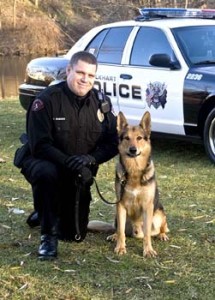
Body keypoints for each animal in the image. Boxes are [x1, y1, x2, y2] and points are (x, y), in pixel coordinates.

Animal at [88, 111, 169, 256]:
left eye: (139, 138)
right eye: (126, 138)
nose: (133, 150)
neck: (134, 170)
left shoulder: (147, 207)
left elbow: (147, 234)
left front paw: (148, 250)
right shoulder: (120, 205)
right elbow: (121, 232)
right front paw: (120, 247)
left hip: (159, 214)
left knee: (162, 228)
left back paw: (162, 235)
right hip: (117, 215)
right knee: (119, 229)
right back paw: (114, 236)